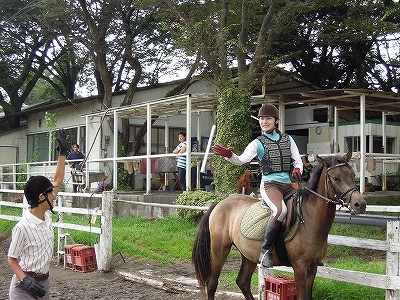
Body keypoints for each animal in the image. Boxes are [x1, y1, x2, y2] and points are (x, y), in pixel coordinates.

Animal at [192, 152, 368, 300]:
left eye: (353, 175)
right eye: (336, 178)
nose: (360, 204)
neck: (310, 220)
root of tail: (220, 203)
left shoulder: (312, 268)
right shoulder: (300, 268)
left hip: (248, 255)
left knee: (242, 282)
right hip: (220, 250)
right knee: (212, 283)